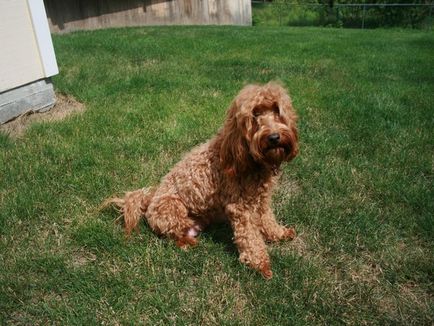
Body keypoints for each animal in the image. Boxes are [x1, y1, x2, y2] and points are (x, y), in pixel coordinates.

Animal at [107, 81, 300, 278]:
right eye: (254, 114)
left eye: (277, 110)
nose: (274, 137)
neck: (247, 157)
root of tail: (149, 200)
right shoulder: (239, 207)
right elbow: (250, 237)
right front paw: (260, 264)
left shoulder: (262, 199)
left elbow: (268, 219)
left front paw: (279, 233)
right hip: (172, 208)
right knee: (173, 235)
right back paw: (188, 243)